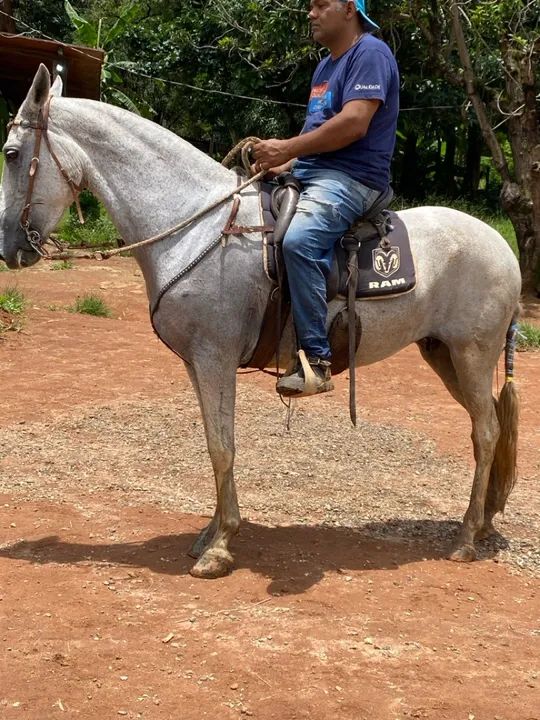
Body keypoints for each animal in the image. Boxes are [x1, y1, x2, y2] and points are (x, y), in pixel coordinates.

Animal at [0, 66, 521, 579]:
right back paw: (482, 522)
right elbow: (215, 442)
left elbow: (221, 447)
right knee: (488, 428)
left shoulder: (215, 357)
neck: (198, 227)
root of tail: (503, 247)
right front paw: (211, 534)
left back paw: (465, 538)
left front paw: (221, 545)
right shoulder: (198, 363)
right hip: (443, 354)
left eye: (10, 153)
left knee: (486, 432)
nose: (9, 248)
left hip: (472, 355)